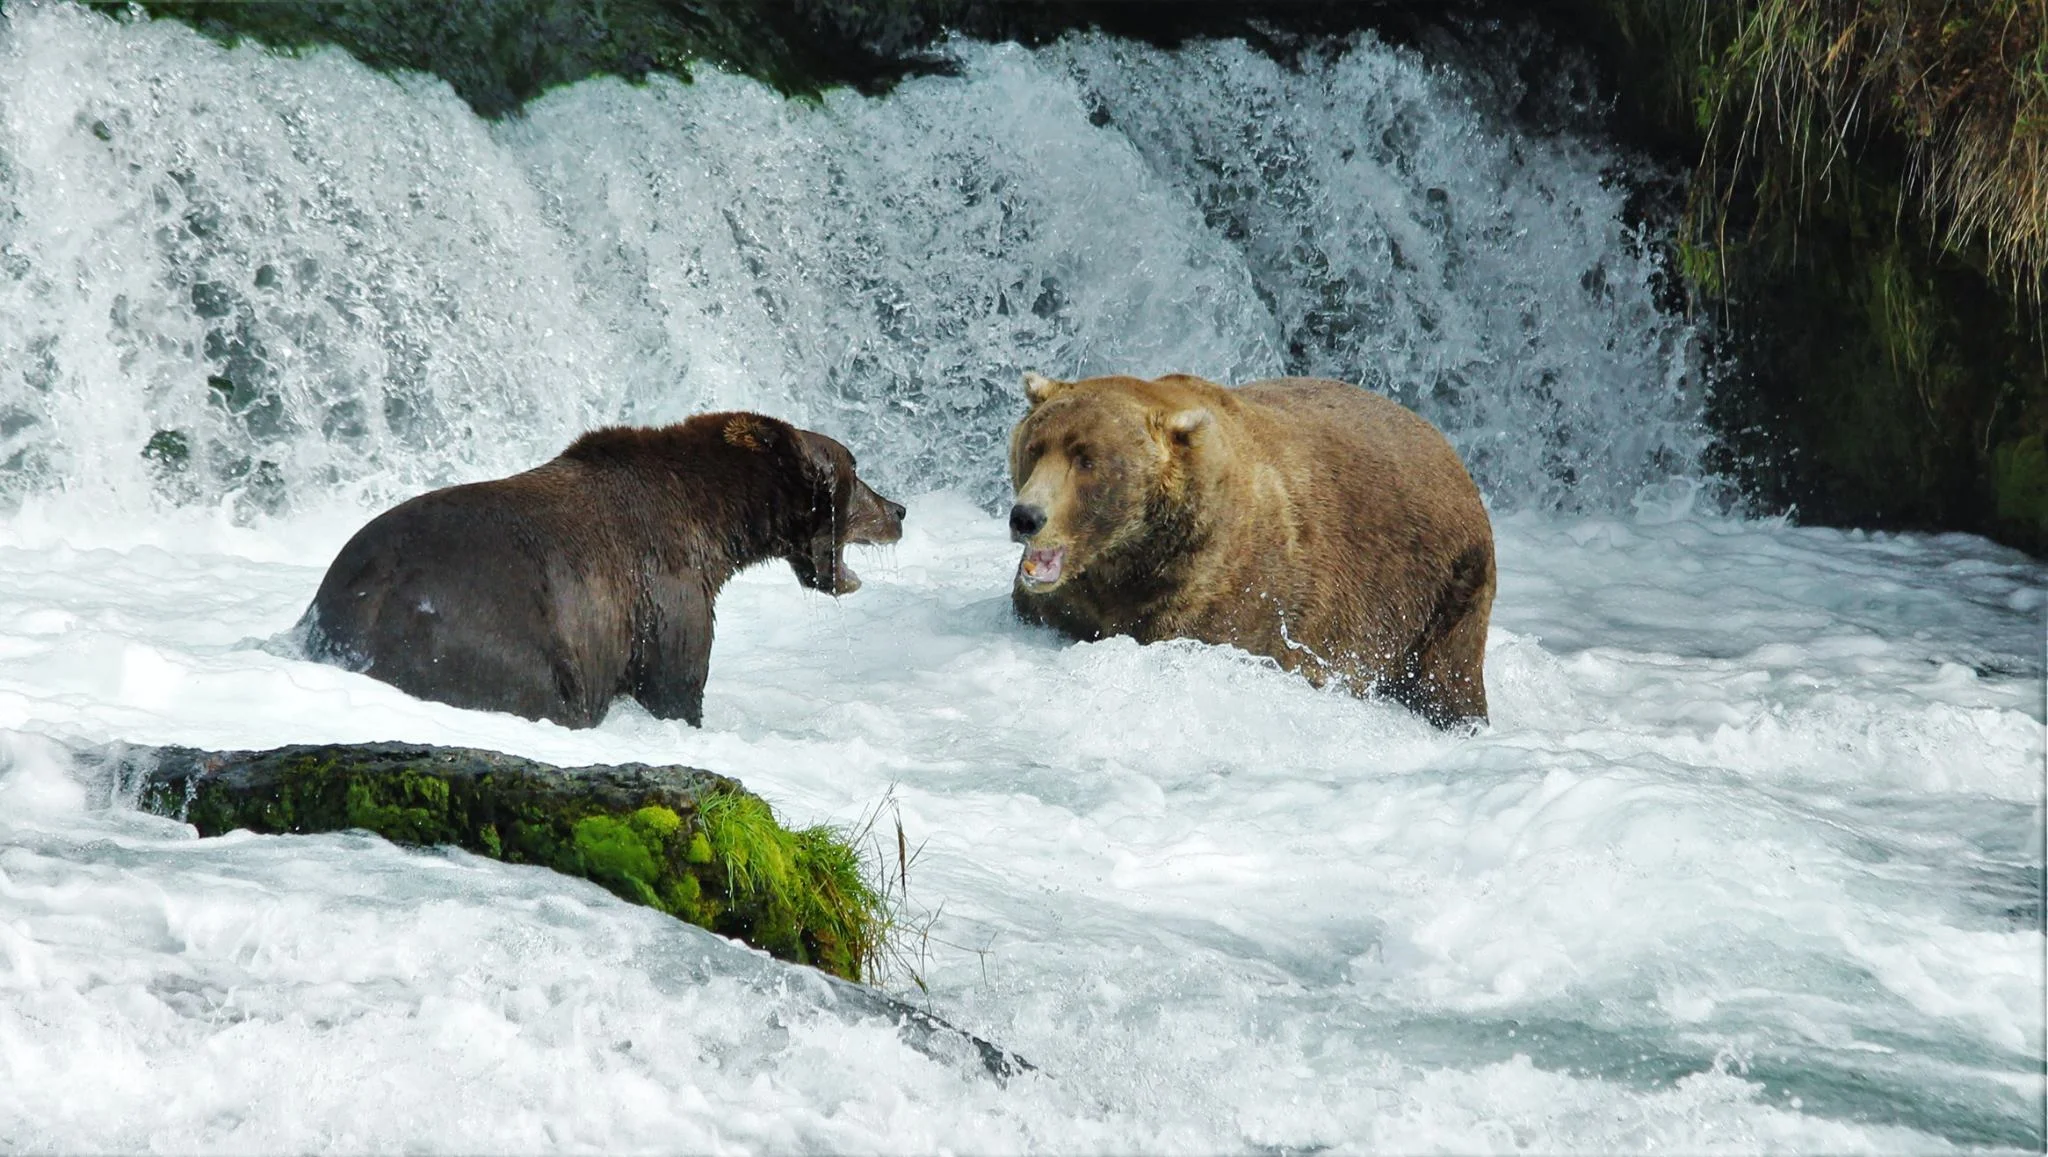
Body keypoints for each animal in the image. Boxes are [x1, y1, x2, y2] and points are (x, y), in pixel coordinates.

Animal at [299, 409, 905, 724]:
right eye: (856, 470)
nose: (898, 511)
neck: (719, 519)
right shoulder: (663, 588)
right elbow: (676, 680)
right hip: (492, 643)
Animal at [1011, 374, 1507, 724]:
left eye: (1086, 459)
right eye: (1035, 448)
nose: (1026, 516)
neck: (1132, 559)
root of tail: (1451, 454)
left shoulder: (1224, 600)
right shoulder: (1068, 603)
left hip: (1442, 592)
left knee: (1447, 680)